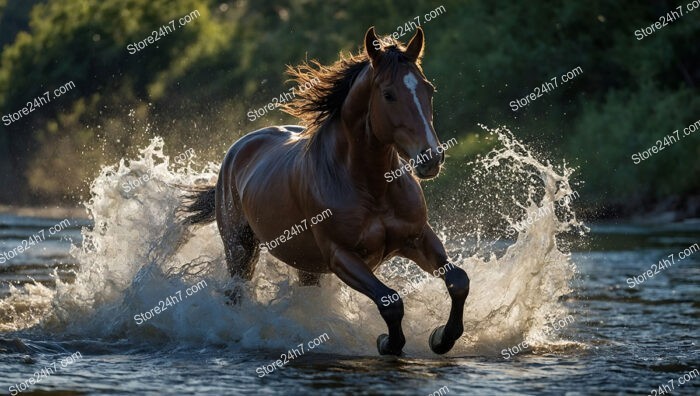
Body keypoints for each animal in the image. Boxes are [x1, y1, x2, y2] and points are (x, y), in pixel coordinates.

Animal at [185, 27, 470, 356]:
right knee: (235, 295)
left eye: (428, 89)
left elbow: (458, 281)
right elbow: (390, 301)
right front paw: (387, 343)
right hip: (240, 249)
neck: (371, 186)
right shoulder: (341, 256)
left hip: (307, 265)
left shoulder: (417, 237)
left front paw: (441, 338)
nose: (431, 158)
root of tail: (238, 149)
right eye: (388, 94)